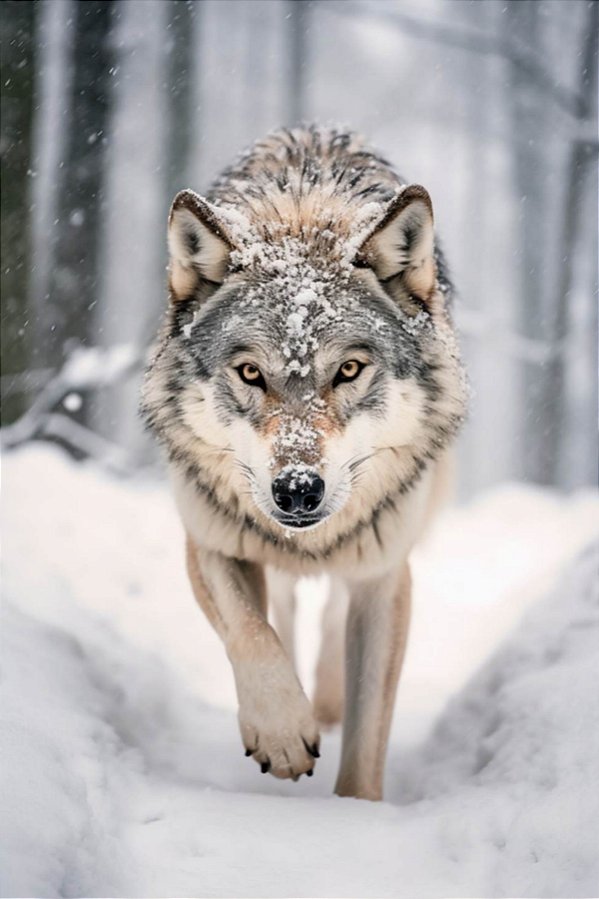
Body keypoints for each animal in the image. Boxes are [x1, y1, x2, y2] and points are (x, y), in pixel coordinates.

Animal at [141, 125, 467, 801]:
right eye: (249, 373)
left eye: (348, 369)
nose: (296, 490)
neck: (302, 214)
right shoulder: (211, 538)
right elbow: (251, 633)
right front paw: (283, 733)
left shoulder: (385, 575)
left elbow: (368, 740)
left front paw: (355, 809)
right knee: (284, 612)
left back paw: (329, 702)